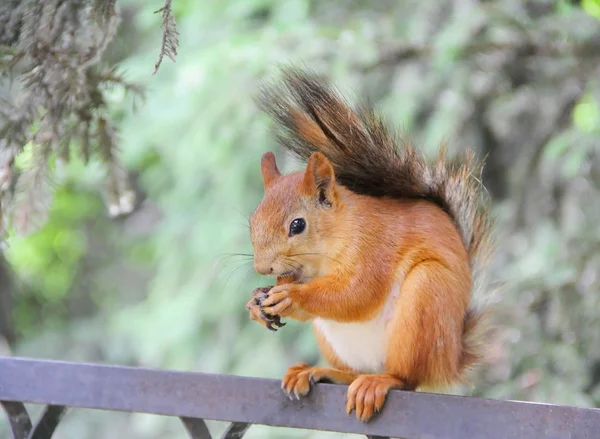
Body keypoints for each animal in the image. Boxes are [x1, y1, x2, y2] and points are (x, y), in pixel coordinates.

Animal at [244, 68, 492, 422]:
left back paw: (380, 382)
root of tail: (452, 359)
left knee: (408, 378)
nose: (262, 268)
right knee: (354, 372)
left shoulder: (375, 246)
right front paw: (256, 301)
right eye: (252, 222)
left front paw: (292, 296)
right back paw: (318, 372)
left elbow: (357, 293)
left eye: (297, 225)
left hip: (427, 299)